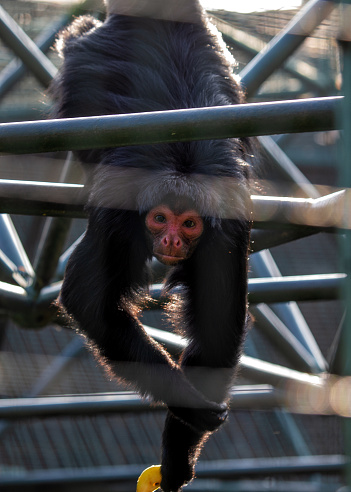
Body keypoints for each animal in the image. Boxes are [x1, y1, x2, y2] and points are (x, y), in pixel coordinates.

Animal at [51, 1, 254, 490]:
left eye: (189, 223)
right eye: (159, 218)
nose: (172, 238)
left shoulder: (226, 227)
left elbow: (217, 326)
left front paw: (178, 453)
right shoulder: (118, 217)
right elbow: (89, 301)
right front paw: (191, 408)